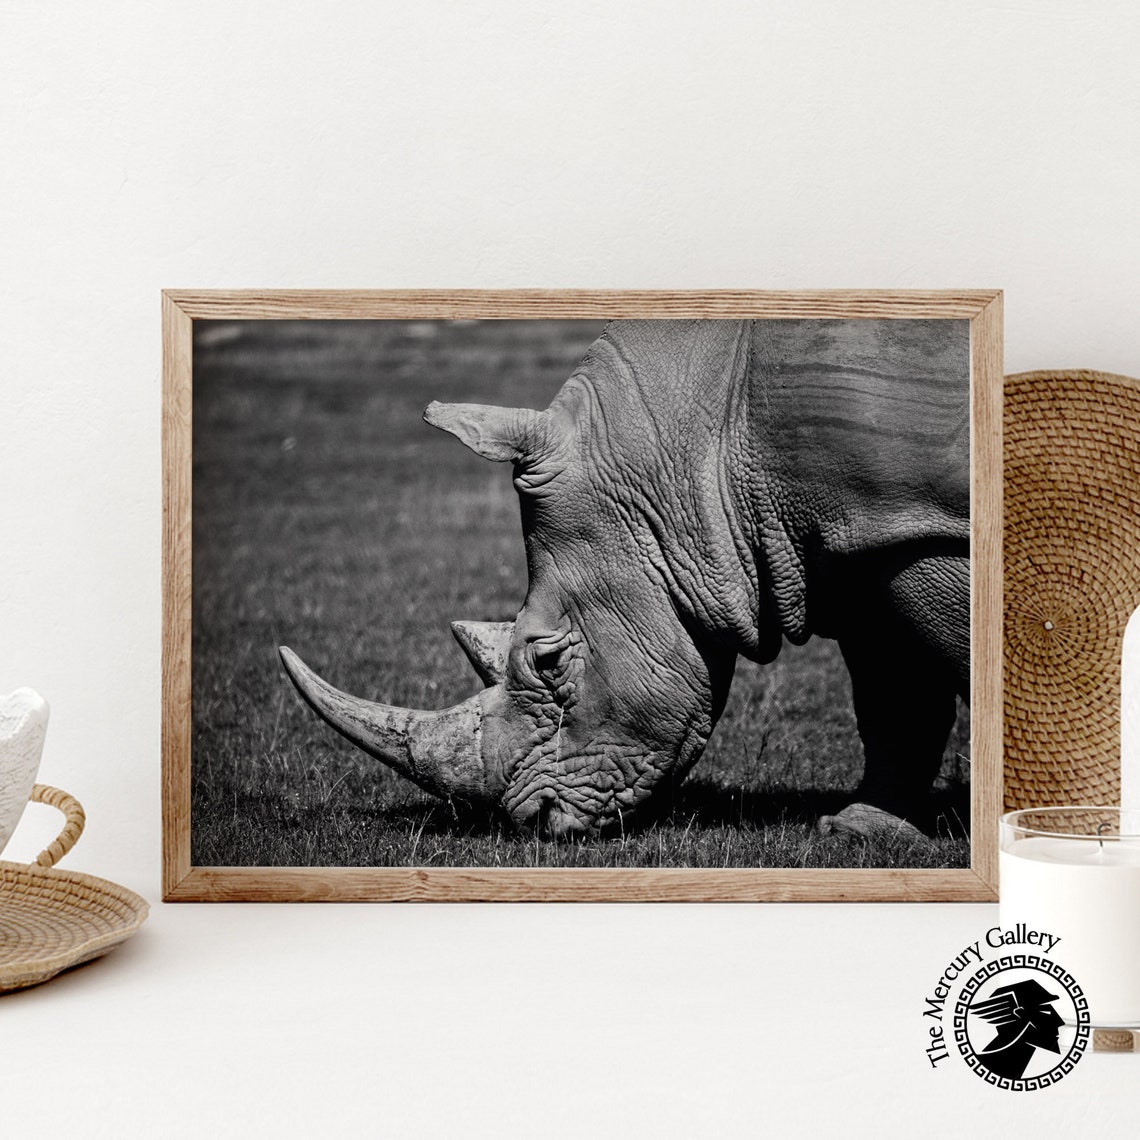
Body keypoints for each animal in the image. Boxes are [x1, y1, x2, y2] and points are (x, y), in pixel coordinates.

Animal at [280, 318, 970, 839]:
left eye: (549, 661)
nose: (535, 822)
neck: (695, 447)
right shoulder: (858, 538)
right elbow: (895, 693)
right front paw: (861, 831)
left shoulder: (913, 526)